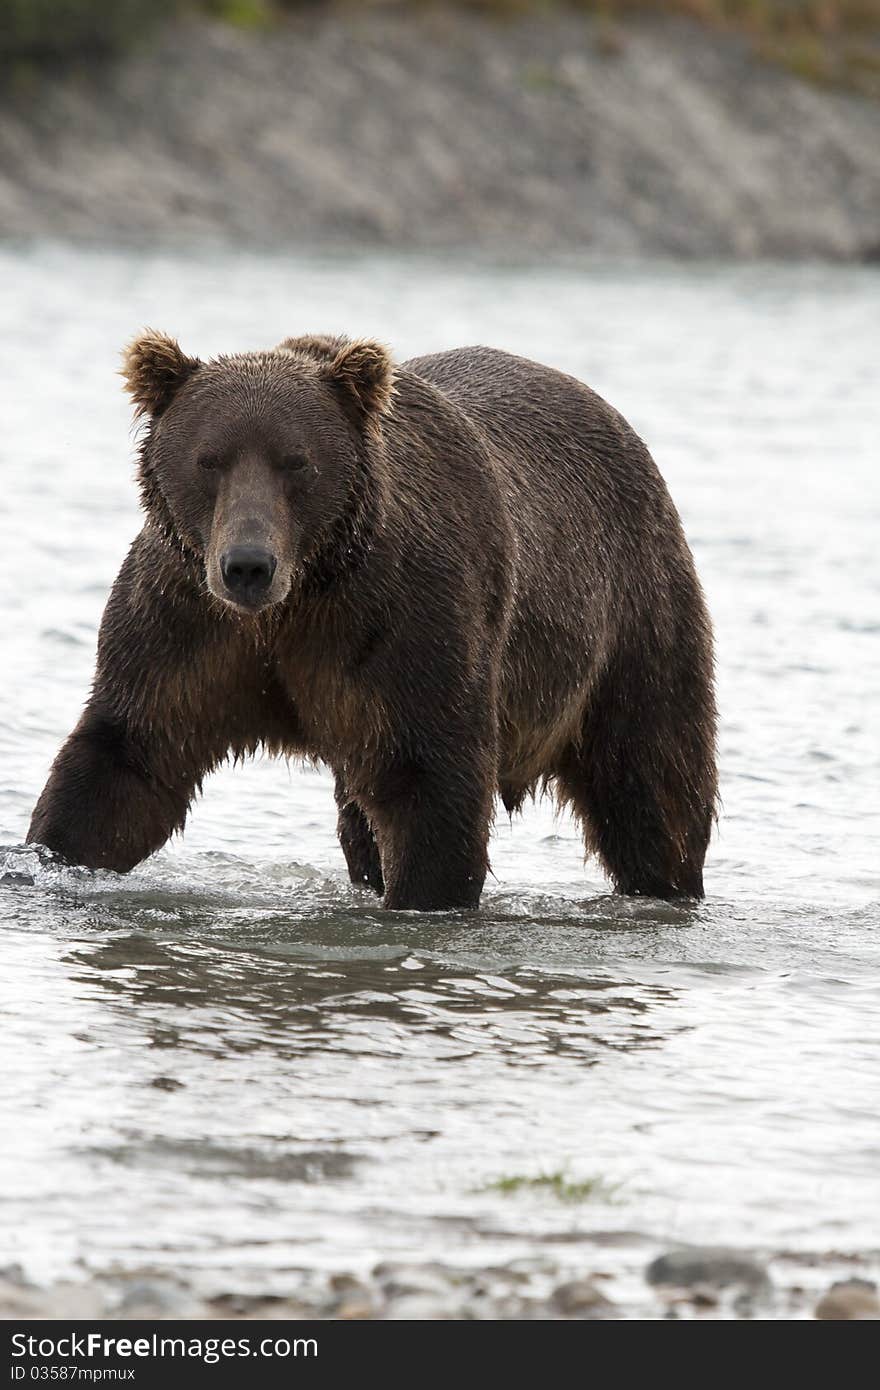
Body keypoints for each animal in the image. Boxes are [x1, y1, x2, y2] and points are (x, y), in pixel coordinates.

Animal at [25, 330, 711, 906]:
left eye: (296, 461)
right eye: (209, 459)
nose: (247, 565)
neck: (298, 600)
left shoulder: (403, 620)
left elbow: (430, 778)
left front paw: (423, 896)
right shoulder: (186, 625)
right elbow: (129, 761)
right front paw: (48, 860)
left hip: (635, 616)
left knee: (654, 782)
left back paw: (667, 881)